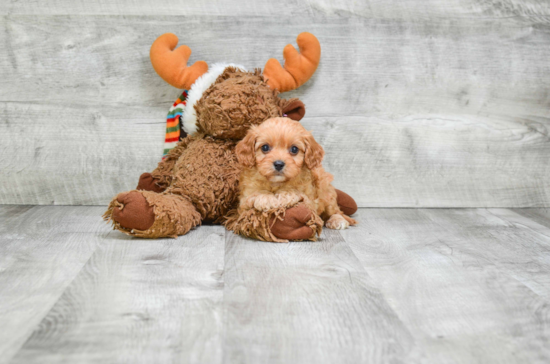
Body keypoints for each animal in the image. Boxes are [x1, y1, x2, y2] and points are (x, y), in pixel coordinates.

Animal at [227, 116, 360, 242]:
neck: (276, 183)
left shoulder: (310, 201)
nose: (279, 164)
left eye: (294, 149)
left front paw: (284, 195)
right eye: (265, 147)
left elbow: (296, 192)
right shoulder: (243, 201)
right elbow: (255, 194)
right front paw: (266, 198)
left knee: (335, 211)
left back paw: (337, 220)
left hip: (326, 193)